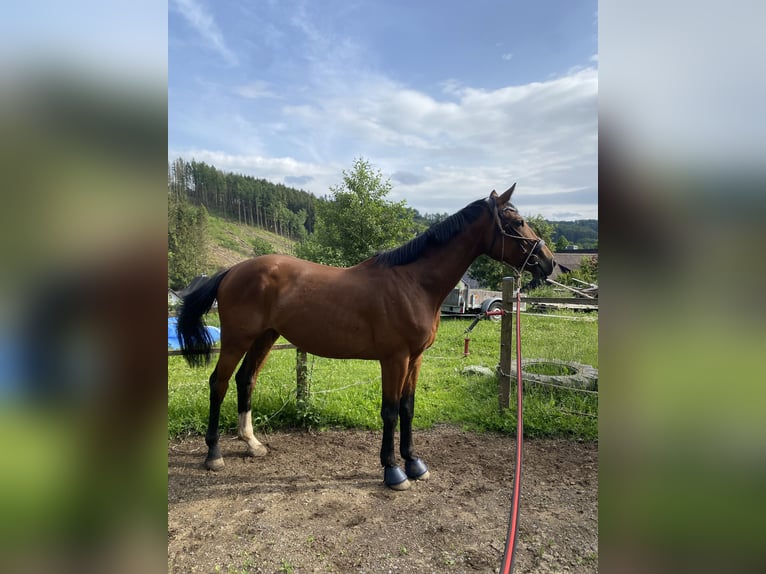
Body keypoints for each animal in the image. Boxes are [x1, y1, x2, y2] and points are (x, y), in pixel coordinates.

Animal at [177, 184, 556, 490]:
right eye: (516, 222)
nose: (548, 262)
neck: (413, 283)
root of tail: (232, 270)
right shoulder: (394, 358)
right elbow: (390, 411)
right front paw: (393, 471)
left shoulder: (415, 358)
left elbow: (408, 407)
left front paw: (414, 463)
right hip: (237, 339)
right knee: (218, 384)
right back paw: (213, 453)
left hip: (265, 337)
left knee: (246, 380)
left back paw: (252, 444)